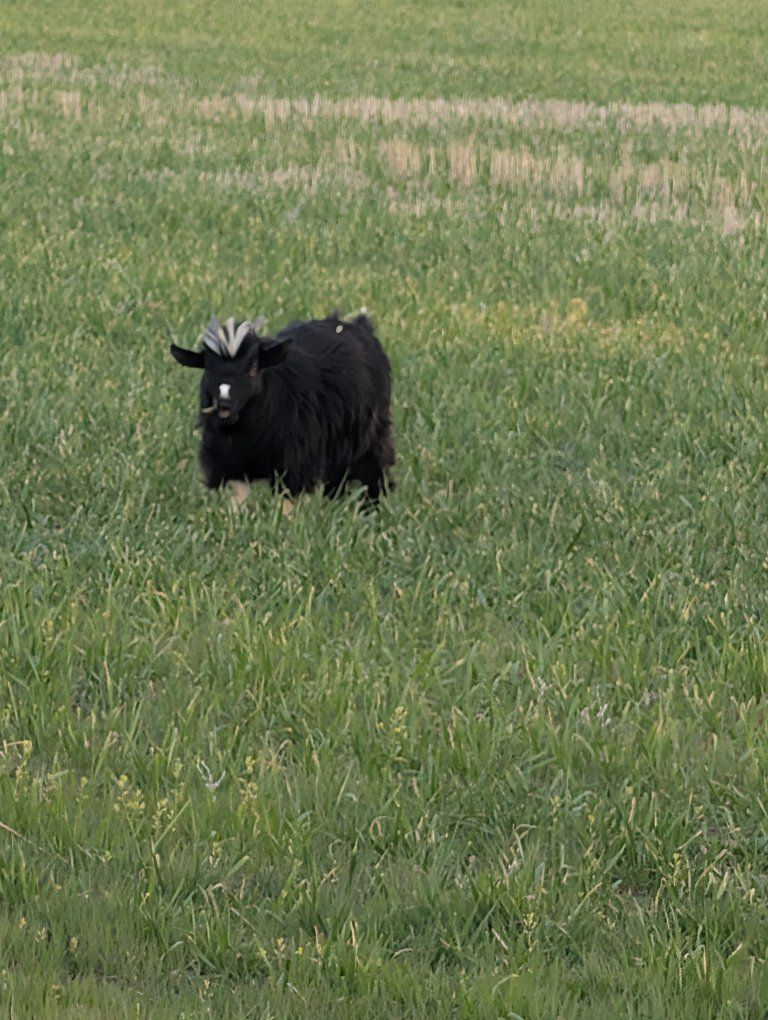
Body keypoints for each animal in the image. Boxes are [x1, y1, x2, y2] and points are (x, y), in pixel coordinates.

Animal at [170, 312, 395, 507]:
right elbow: (237, 502)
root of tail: (354, 323)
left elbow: (285, 502)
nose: (224, 404)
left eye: (253, 369)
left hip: (371, 433)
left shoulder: (292, 464)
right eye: (208, 370)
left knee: (372, 470)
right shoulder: (229, 464)